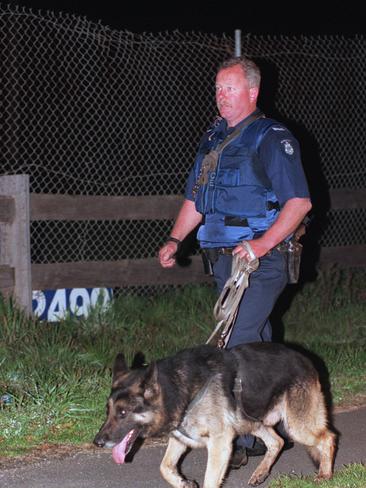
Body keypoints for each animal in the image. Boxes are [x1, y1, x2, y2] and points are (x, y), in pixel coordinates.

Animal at [93, 344, 336, 488]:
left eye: (123, 413)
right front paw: (183, 482)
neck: (179, 389)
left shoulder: (220, 444)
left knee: (328, 438)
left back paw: (325, 475)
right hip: (250, 421)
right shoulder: (182, 437)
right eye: (108, 411)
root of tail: (305, 359)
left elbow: (210, 480)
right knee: (277, 441)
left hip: (297, 426)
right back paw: (260, 473)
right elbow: (164, 467)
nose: (97, 442)